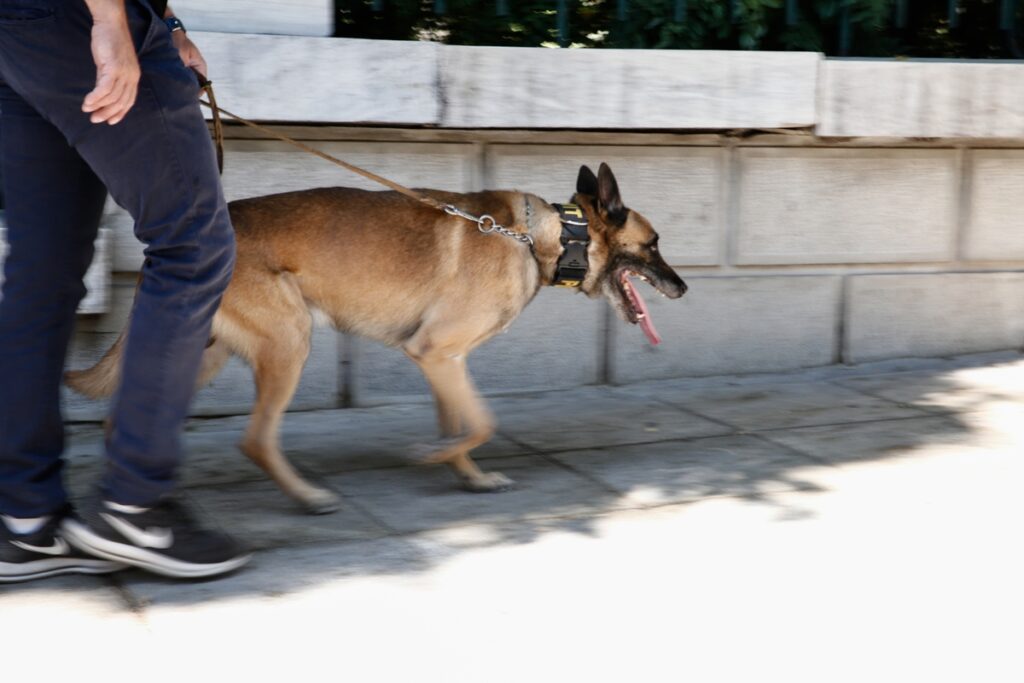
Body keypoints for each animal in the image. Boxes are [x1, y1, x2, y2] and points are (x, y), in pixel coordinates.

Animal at [70, 161, 688, 511]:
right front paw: (434, 457)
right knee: (256, 439)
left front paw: (465, 475)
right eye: (655, 244)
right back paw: (305, 497)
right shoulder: (438, 353)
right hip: (289, 343)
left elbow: (459, 424)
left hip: (207, 355)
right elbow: (483, 422)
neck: (550, 235)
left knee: (126, 417)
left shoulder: (442, 362)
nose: (683, 288)